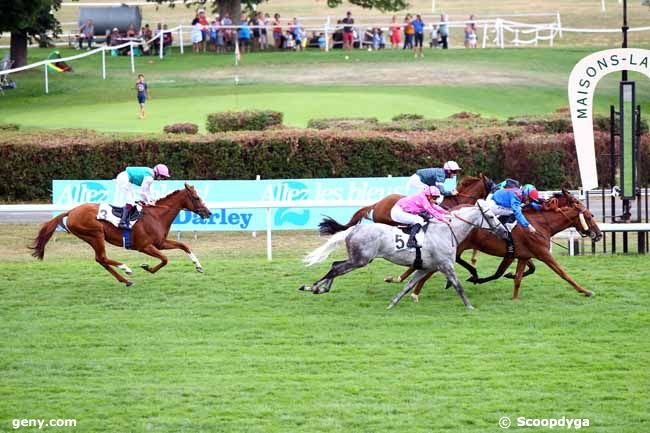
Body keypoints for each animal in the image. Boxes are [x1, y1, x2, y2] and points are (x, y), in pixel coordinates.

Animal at [30, 184, 210, 286]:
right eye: (196, 197)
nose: (208, 213)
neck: (156, 215)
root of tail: (71, 211)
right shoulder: (144, 246)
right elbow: (165, 259)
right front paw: (146, 267)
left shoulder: (160, 243)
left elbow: (183, 245)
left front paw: (198, 265)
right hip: (95, 234)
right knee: (102, 258)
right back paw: (126, 269)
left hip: (92, 237)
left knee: (100, 260)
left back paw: (125, 280)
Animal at [298, 201, 506, 308]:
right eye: (492, 216)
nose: (504, 232)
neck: (446, 231)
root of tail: (354, 230)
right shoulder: (445, 265)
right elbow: (458, 286)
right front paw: (470, 307)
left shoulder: (426, 267)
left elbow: (408, 286)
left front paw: (393, 303)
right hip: (360, 260)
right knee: (336, 269)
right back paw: (313, 287)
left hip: (357, 259)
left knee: (335, 265)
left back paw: (320, 288)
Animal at [388, 188, 600, 304]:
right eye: (590, 216)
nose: (598, 235)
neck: (542, 223)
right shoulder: (541, 253)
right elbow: (563, 273)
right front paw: (585, 291)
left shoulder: (521, 255)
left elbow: (516, 277)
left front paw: (514, 297)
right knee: (429, 269)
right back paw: (415, 292)